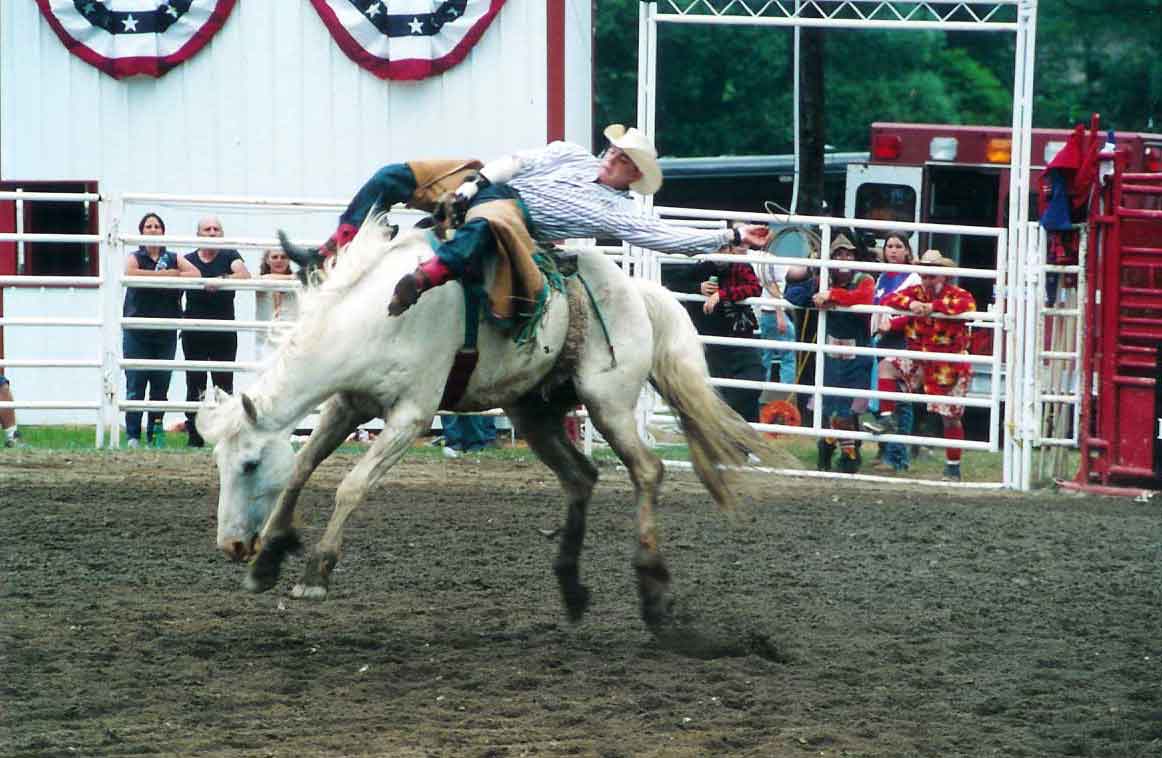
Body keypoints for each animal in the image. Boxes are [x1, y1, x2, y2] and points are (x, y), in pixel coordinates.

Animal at [197, 217, 780, 627]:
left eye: (249, 464)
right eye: (222, 464)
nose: (230, 546)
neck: (383, 313)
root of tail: (638, 292)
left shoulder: (411, 415)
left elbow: (352, 486)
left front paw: (316, 570)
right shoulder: (348, 403)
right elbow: (302, 468)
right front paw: (267, 560)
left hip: (608, 403)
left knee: (647, 471)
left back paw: (652, 586)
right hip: (534, 412)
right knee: (581, 477)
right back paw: (570, 586)